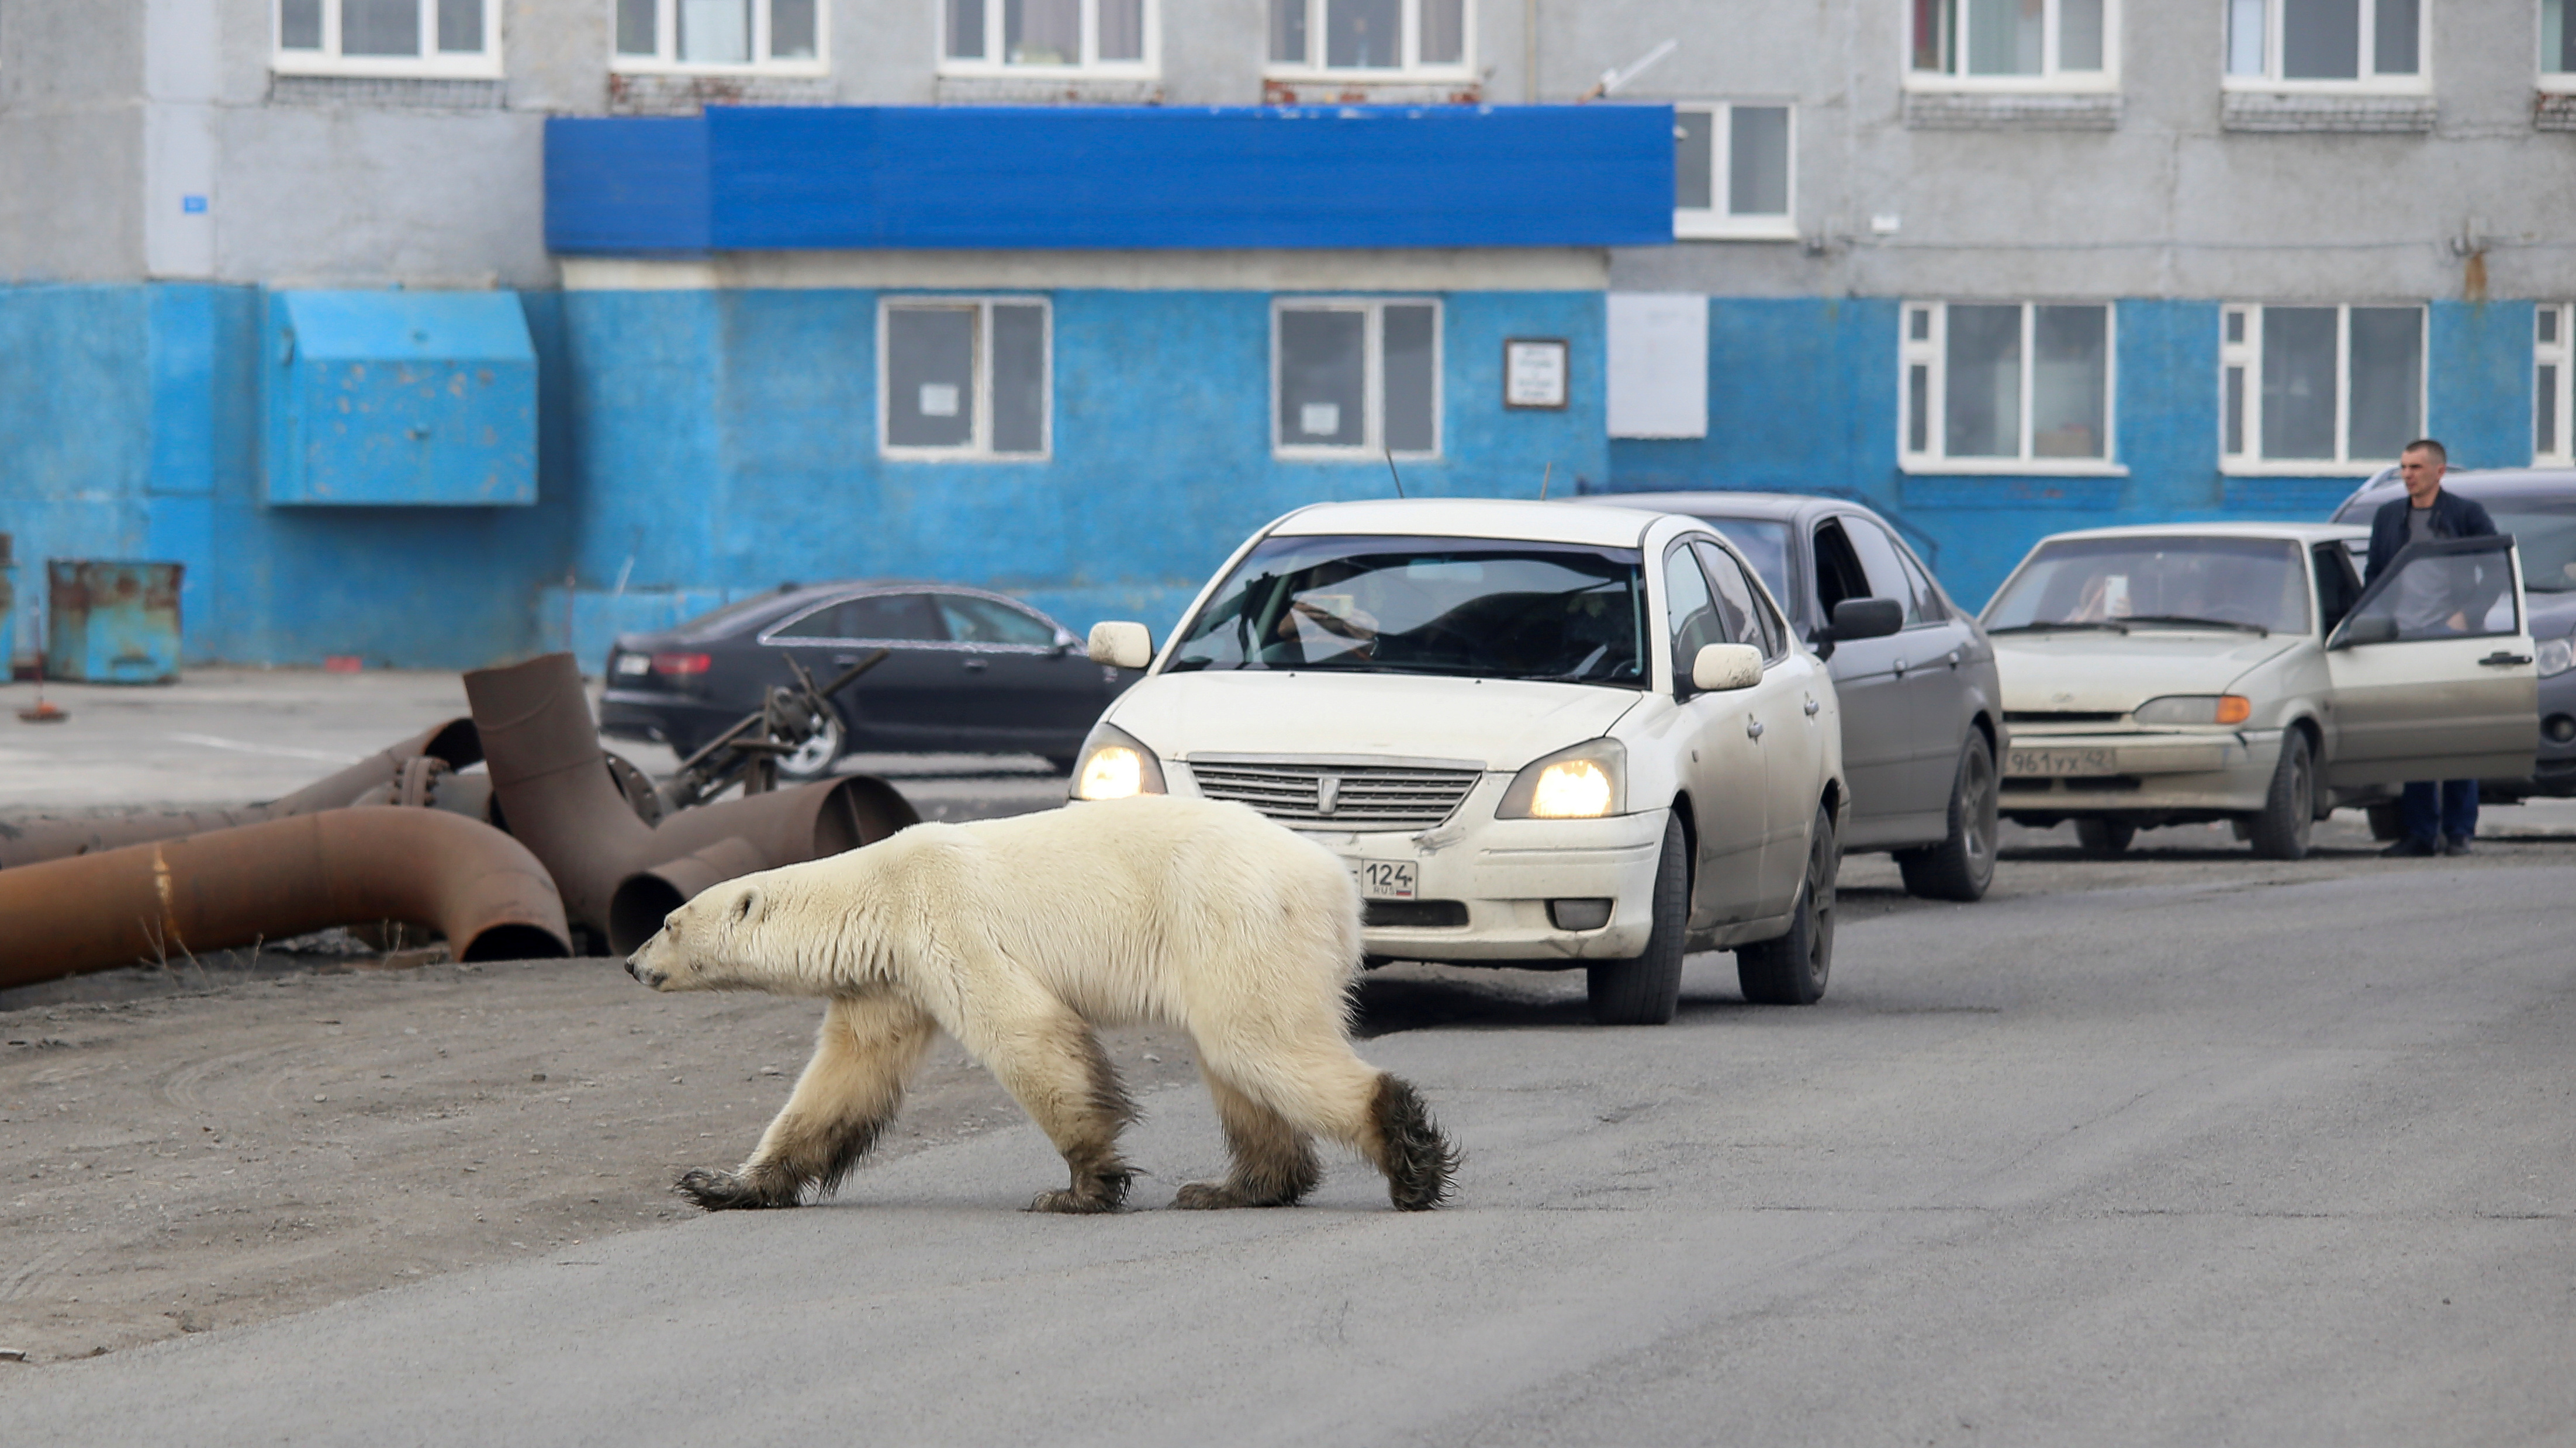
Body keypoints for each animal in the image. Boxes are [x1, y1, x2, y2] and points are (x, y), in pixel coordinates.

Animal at [623, 794, 1463, 1211]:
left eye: (667, 920)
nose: (630, 963)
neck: (876, 890)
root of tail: (1336, 880)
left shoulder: (946, 922)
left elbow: (1027, 1033)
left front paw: (1079, 1188)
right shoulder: (886, 979)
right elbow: (841, 1079)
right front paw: (721, 1184)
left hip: (1232, 917)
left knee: (1256, 1042)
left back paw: (1410, 1162)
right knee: (1236, 1063)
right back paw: (1233, 1188)